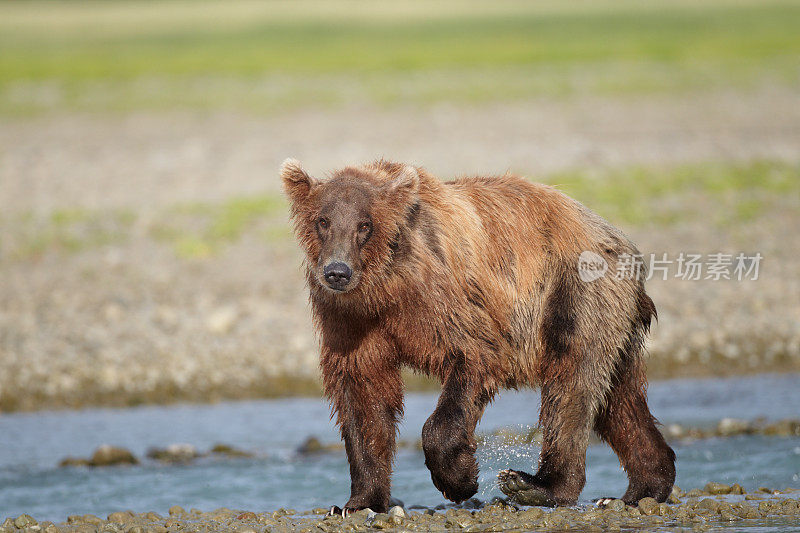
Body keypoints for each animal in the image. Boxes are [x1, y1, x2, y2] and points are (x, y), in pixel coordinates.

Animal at [282, 159, 676, 516]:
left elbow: (473, 357)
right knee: (617, 399)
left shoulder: (444, 298)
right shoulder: (350, 323)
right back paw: (643, 486)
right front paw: (357, 502)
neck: (383, 290)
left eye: (365, 224)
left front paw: (461, 480)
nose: (337, 271)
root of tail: (617, 236)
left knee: (573, 382)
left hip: (576, 291)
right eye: (323, 221)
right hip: (612, 319)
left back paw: (536, 484)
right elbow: (362, 396)